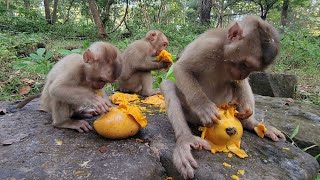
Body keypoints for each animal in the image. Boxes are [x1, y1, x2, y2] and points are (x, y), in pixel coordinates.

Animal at [161, 16, 286, 179]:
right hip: (191, 114)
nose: (244, 74)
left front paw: (247, 112)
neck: (224, 53)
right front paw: (203, 106)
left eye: (253, 69)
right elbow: (181, 68)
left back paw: (250, 123)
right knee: (168, 84)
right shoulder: (207, 46)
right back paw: (185, 139)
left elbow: (238, 82)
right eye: (246, 64)